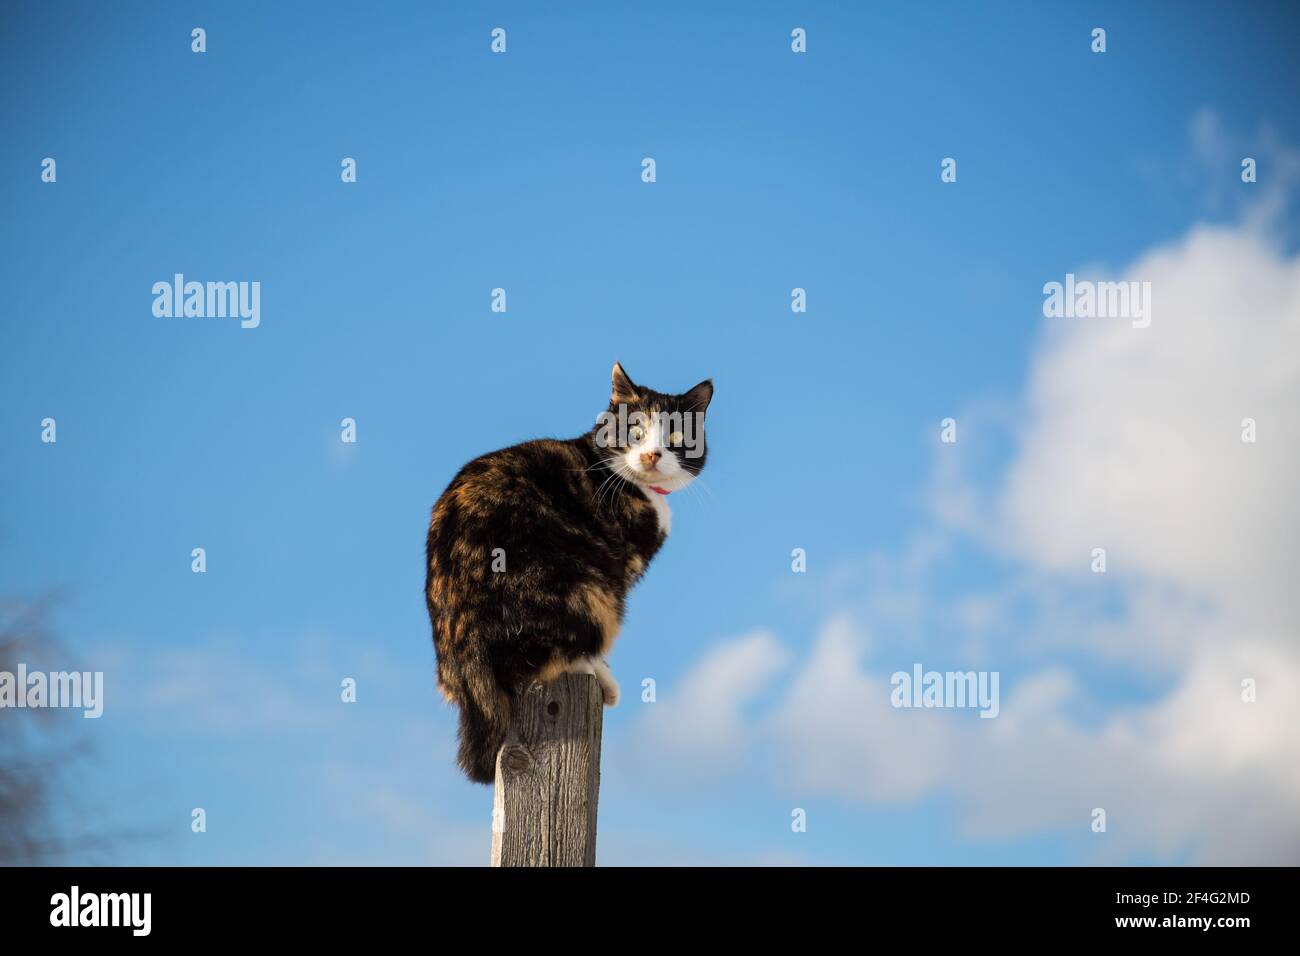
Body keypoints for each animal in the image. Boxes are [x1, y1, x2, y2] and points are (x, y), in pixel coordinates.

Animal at [426, 361, 712, 780]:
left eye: (676, 435)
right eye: (635, 430)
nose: (652, 455)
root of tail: (464, 662)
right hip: (586, 590)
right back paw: (601, 676)